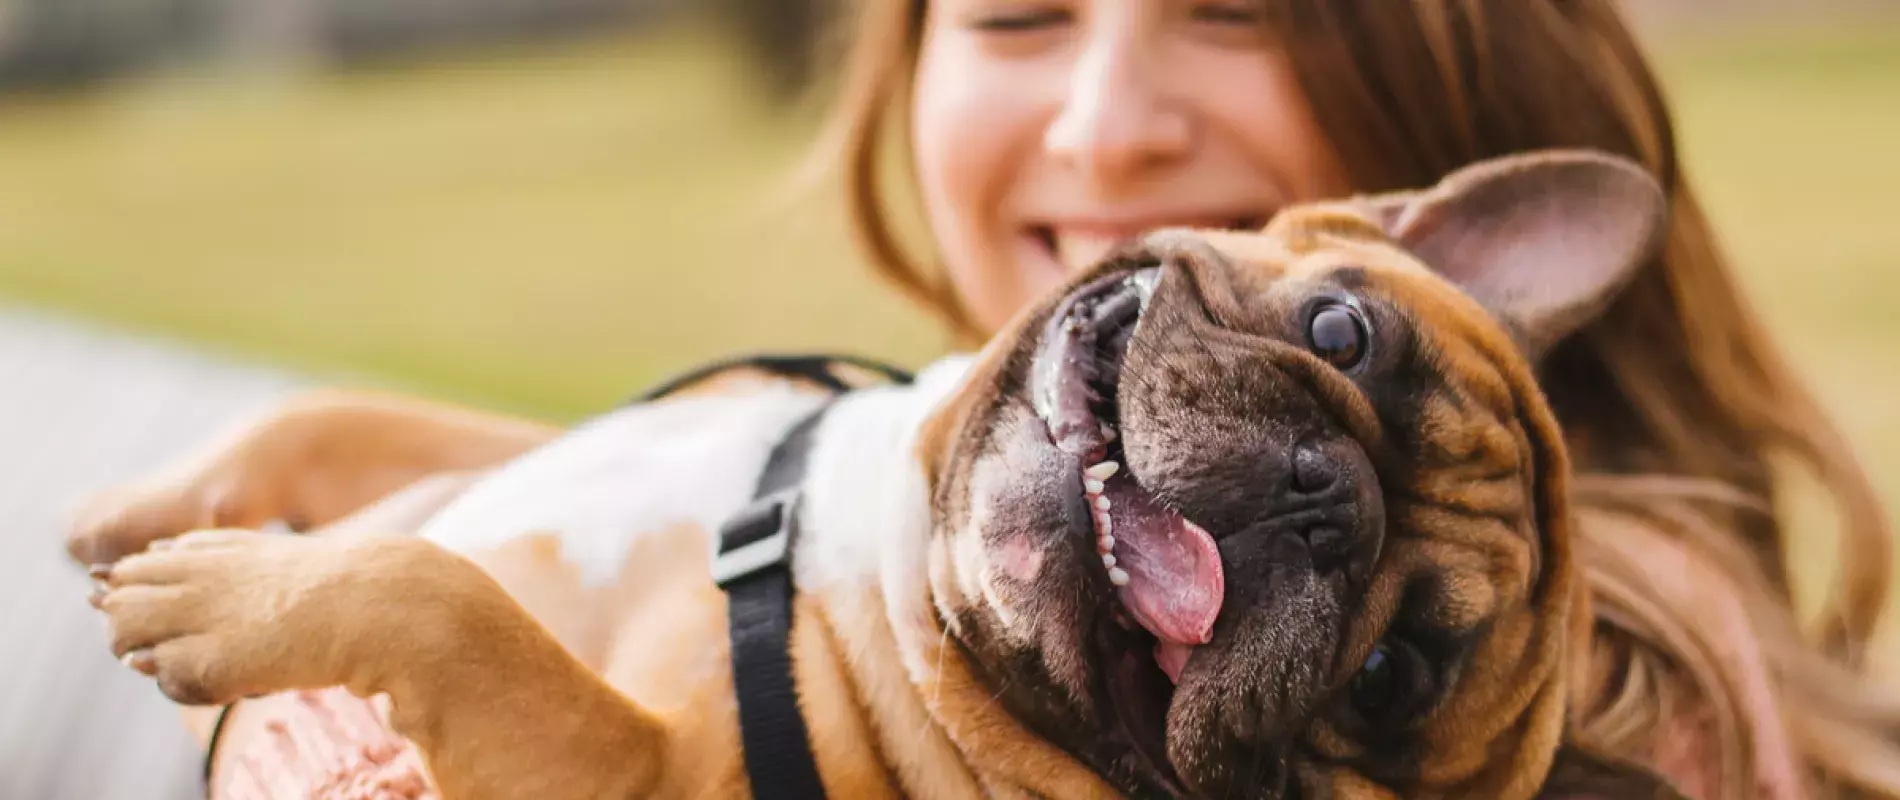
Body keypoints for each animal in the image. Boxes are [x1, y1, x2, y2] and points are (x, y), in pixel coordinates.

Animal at [70, 150, 1679, 798]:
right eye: (1343, 329)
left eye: (1391, 678)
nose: (1317, 494)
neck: (877, 557)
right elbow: (343, 419)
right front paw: (151, 511)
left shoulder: (631, 776)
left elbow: (454, 608)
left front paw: (228, 595)